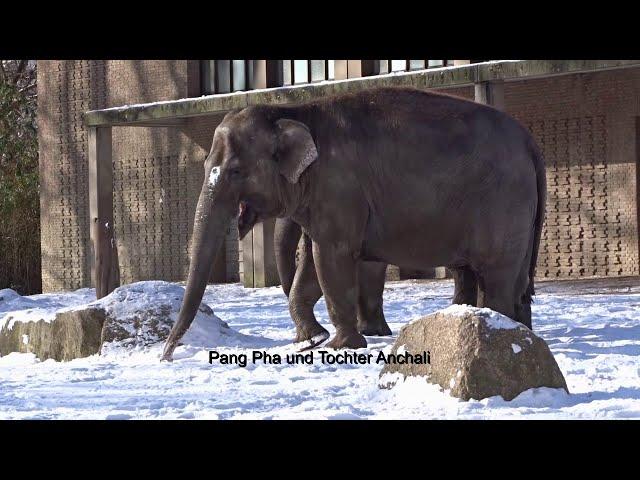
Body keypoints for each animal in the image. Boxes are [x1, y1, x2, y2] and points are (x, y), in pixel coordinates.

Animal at [160, 88, 544, 362]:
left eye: (237, 171)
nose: (167, 356)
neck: (294, 111)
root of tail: (530, 142)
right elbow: (314, 263)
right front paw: (313, 340)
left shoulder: (339, 188)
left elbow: (330, 258)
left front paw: (339, 345)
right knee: (514, 280)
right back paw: (523, 335)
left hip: (503, 204)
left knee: (497, 276)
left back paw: (502, 330)